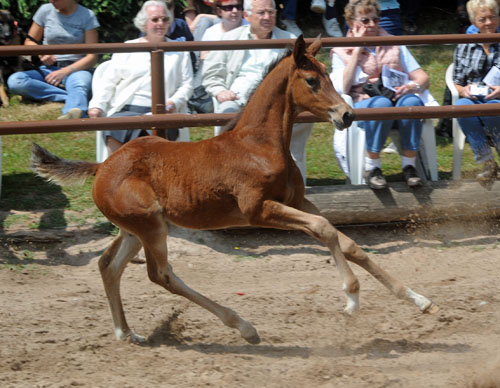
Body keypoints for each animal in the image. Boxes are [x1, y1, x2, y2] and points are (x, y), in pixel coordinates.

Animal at [31, 36, 438, 344]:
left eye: (329, 75)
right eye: (311, 80)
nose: (347, 115)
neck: (259, 145)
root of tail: (102, 166)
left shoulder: (298, 201)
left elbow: (347, 242)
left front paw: (420, 300)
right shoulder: (258, 210)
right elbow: (324, 231)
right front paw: (351, 299)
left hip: (135, 228)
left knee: (108, 265)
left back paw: (125, 332)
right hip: (150, 225)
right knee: (160, 274)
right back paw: (244, 327)